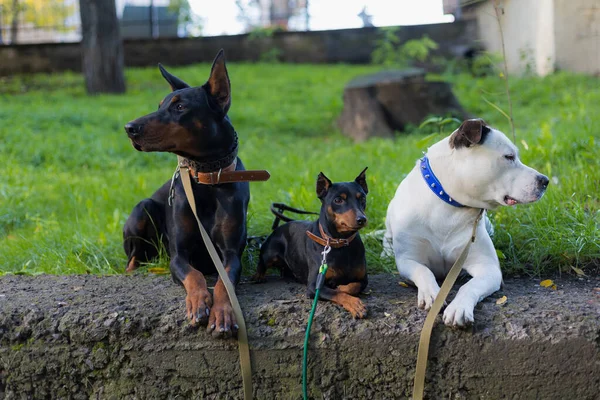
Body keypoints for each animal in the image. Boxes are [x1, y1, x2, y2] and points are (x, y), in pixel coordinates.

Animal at [123, 50, 266, 338]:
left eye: (180, 107)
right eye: (160, 105)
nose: (129, 127)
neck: (207, 179)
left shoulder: (231, 253)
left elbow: (224, 283)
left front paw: (222, 314)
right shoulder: (179, 254)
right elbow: (194, 274)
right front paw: (199, 302)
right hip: (143, 209)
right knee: (133, 256)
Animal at [251, 169, 368, 318]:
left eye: (362, 198)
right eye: (338, 200)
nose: (362, 219)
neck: (340, 243)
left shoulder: (364, 279)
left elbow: (354, 286)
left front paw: (342, 287)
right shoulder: (314, 286)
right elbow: (336, 293)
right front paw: (354, 304)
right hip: (270, 252)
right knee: (262, 261)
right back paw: (258, 276)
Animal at [384, 120, 548, 326]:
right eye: (509, 156)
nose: (545, 181)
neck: (449, 205)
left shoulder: (488, 268)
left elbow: (469, 286)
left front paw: (459, 308)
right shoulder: (408, 260)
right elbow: (423, 270)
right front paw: (432, 294)